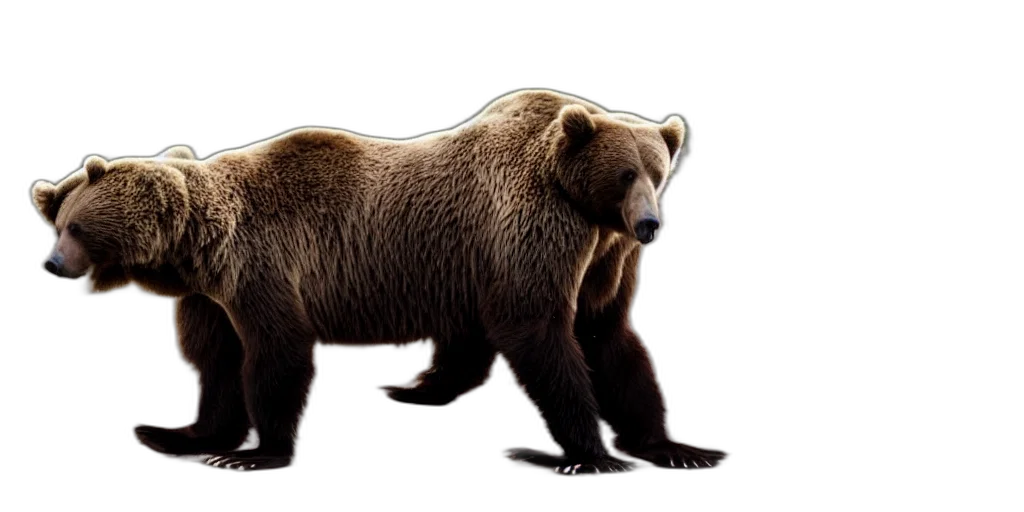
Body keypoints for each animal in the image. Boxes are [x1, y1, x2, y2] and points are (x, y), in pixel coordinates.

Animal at [32, 89, 728, 476]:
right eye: (61, 224)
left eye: (654, 171)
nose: (649, 224)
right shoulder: (212, 293)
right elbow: (217, 361)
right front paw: (186, 433)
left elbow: (586, 333)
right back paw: (418, 387)